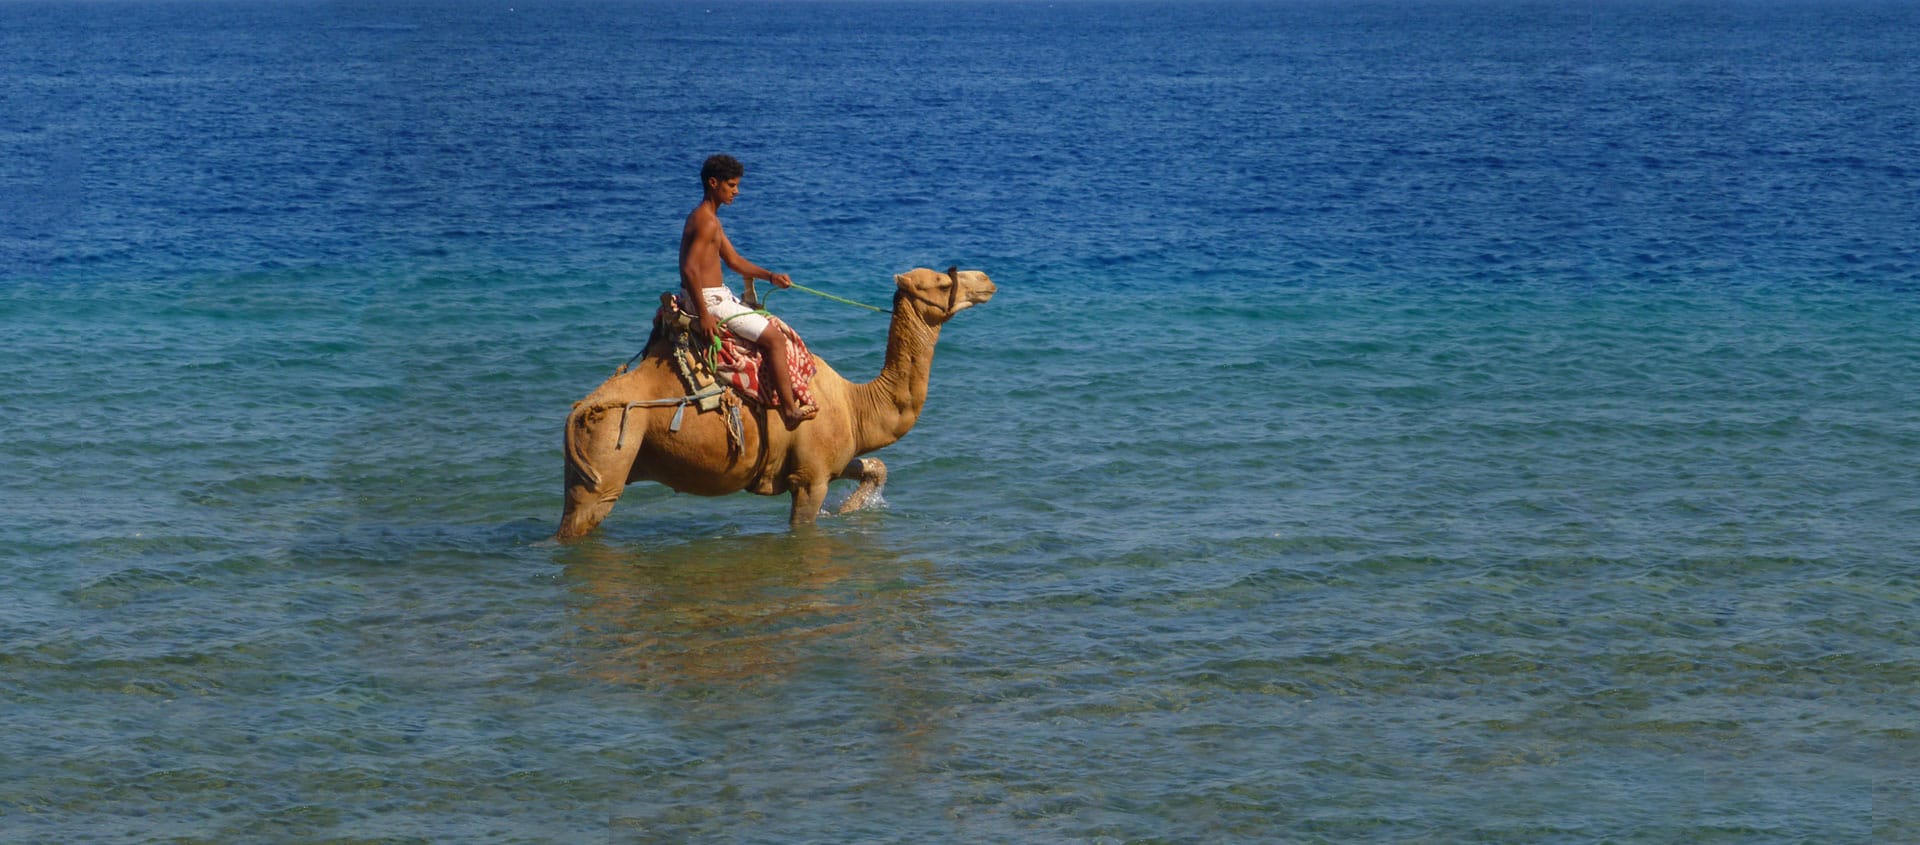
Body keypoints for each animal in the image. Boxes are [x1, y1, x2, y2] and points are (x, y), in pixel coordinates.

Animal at [556, 266, 998, 537]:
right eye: (941, 283)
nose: (985, 278)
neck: (855, 404)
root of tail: (580, 408)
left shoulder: (827, 459)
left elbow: (875, 467)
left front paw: (849, 511)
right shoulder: (810, 479)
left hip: (585, 466)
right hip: (612, 444)